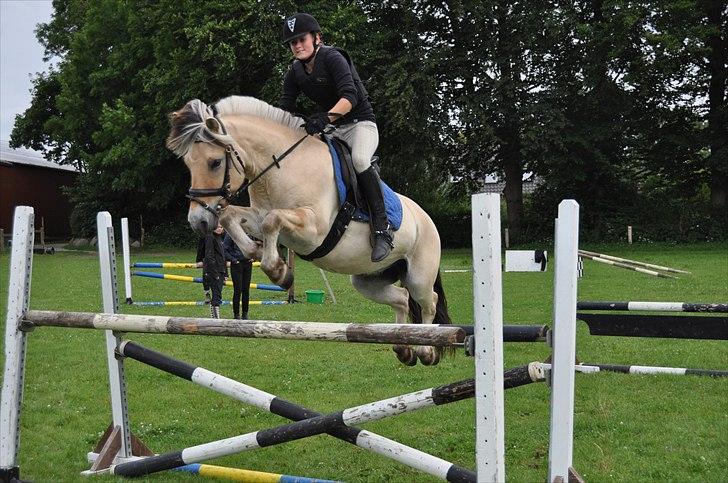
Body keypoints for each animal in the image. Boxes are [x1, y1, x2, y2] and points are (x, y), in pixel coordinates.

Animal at [167, 96, 450, 364]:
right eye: (189, 164)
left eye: (215, 163)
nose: (198, 221)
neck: (282, 166)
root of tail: (427, 219)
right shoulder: (259, 216)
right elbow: (231, 217)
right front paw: (260, 254)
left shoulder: (314, 230)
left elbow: (272, 220)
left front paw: (278, 272)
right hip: (367, 280)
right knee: (402, 298)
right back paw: (403, 348)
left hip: (419, 275)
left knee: (429, 302)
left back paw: (426, 351)